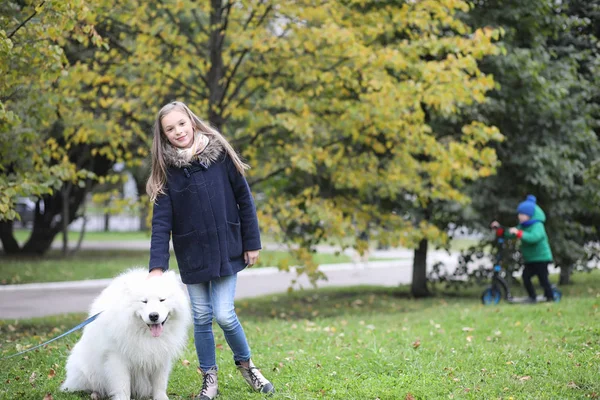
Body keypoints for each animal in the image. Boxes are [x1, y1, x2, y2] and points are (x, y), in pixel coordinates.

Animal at [61, 268, 191, 400]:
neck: (146, 336)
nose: (154, 315)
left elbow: (160, 383)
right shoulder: (117, 358)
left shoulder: (160, 357)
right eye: (144, 301)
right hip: (86, 371)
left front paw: (161, 397)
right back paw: (95, 394)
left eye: (162, 300)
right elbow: (122, 385)